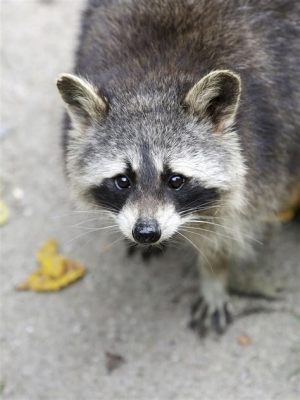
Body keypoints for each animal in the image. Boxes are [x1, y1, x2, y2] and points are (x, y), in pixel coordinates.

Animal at [56, 0, 300, 334]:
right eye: (123, 181)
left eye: (175, 180)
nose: (146, 232)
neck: (152, 78)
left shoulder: (264, 153)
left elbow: (229, 231)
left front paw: (214, 275)